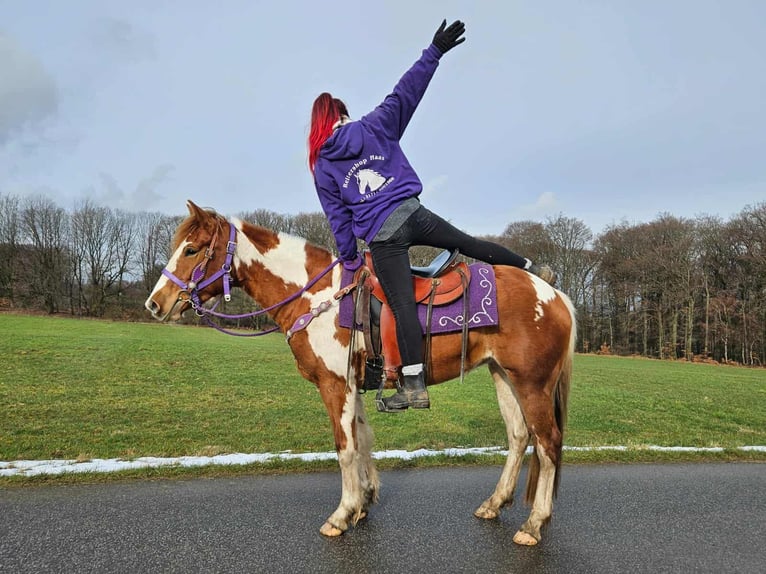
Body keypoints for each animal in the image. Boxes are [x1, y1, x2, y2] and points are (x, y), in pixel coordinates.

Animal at [145, 200, 577, 546]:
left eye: (191, 249)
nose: (155, 303)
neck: (316, 295)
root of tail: (555, 295)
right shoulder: (354, 386)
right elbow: (363, 440)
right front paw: (364, 503)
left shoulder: (335, 386)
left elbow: (345, 447)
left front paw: (342, 514)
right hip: (504, 375)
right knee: (519, 437)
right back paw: (494, 503)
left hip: (533, 383)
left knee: (548, 442)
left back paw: (534, 524)